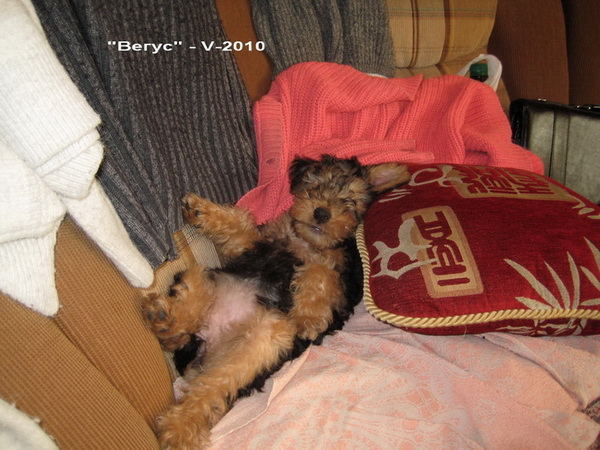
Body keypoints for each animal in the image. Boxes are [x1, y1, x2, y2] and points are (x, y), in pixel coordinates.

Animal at [141, 154, 410, 449]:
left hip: (267, 338)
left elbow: (321, 271)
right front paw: (201, 210)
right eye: (314, 185)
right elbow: (240, 226)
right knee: (192, 302)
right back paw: (168, 323)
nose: (321, 213)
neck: (305, 242)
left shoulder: (342, 279)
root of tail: (211, 339)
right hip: (210, 277)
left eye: (349, 198)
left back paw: (179, 426)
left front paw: (308, 318)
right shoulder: (254, 245)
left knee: (215, 385)